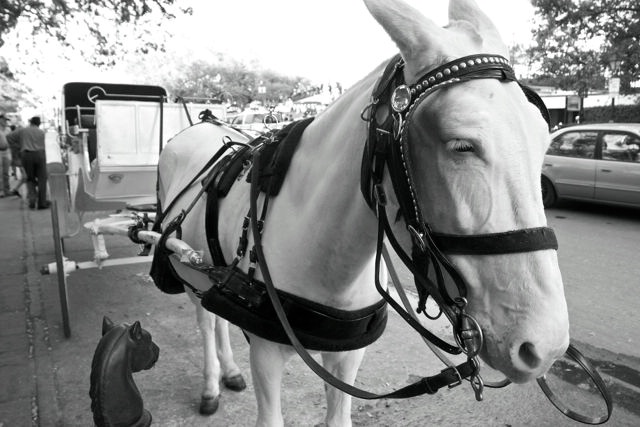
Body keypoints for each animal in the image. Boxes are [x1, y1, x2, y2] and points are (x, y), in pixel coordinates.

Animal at [155, 0, 568, 426]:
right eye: (461, 145)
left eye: (545, 140)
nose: (546, 346)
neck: (328, 258)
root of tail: (200, 125)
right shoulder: (265, 355)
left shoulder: (347, 357)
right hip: (183, 266)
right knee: (206, 320)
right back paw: (211, 383)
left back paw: (229, 370)